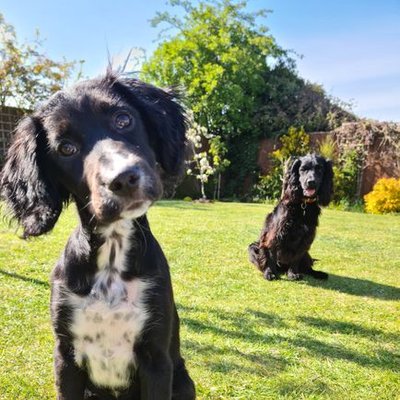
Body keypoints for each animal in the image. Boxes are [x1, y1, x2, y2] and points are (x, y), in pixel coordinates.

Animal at [0, 73, 195, 398]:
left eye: (123, 119)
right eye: (65, 148)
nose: (123, 178)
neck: (112, 259)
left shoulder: (157, 359)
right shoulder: (65, 357)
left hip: (183, 381)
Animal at [248, 153, 332, 282]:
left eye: (320, 169)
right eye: (303, 169)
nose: (311, 182)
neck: (303, 205)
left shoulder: (305, 240)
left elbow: (296, 258)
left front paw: (293, 273)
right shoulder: (274, 235)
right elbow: (270, 256)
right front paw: (270, 273)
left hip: (307, 254)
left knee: (308, 268)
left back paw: (319, 273)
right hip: (253, 247)